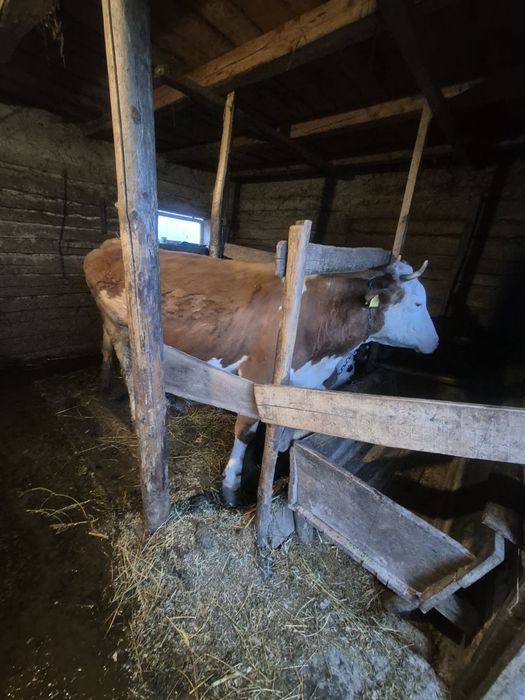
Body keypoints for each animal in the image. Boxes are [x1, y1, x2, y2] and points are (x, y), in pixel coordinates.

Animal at [84, 238, 438, 506]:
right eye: (418, 303)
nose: (436, 342)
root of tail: (107, 244)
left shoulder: (305, 384)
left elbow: (296, 429)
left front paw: (275, 455)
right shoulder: (258, 374)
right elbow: (245, 430)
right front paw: (232, 482)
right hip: (122, 327)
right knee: (130, 367)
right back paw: (138, 413)